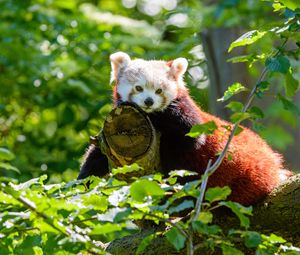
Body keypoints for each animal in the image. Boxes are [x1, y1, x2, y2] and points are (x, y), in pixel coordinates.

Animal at [78, 51, 292, 205]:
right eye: (138, 88)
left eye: (159, 90)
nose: (149, 101)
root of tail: (274, 163)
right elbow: (97, 155)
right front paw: (81, 182)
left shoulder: (187, 117)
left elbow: (189, 139)